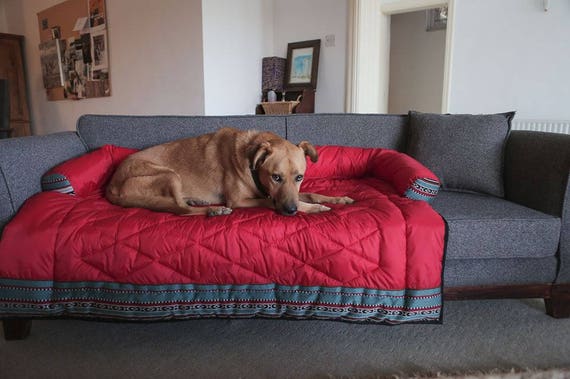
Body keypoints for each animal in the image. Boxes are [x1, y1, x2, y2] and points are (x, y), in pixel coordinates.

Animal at [105, 127, 352, 217]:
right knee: (181, 210)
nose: (291, 211)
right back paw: (212, 210)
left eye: (299, 177)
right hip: (169, 174)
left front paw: (337, 198)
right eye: (276, 177)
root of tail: (111, 186)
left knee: (180, 204)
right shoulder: (238, 200)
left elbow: (310, 193)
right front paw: (312, 208)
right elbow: (272, 201)